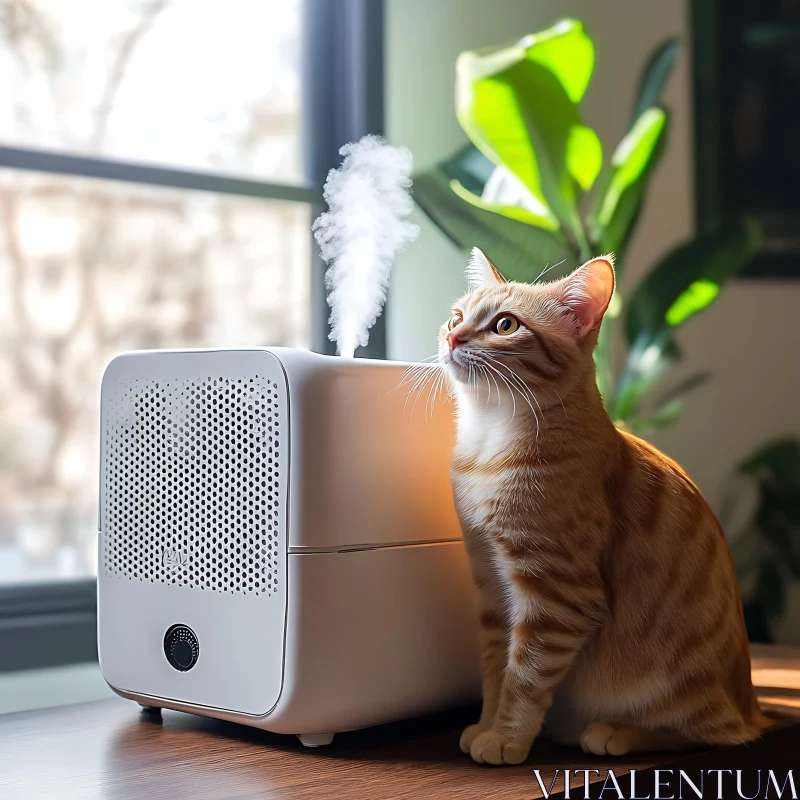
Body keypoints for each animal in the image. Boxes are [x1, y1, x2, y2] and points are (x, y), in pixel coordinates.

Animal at [440, 247, 764, 764]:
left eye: (505, 325)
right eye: (456, 317)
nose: (452, 336)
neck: (488, 445)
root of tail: (752, 706)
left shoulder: (559, 597)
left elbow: (524, 675)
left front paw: (507, 737)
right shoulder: (489, 583)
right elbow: (495, 669)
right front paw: (486, 724)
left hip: (683, 693)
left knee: (711, 733)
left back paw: (617, 732)